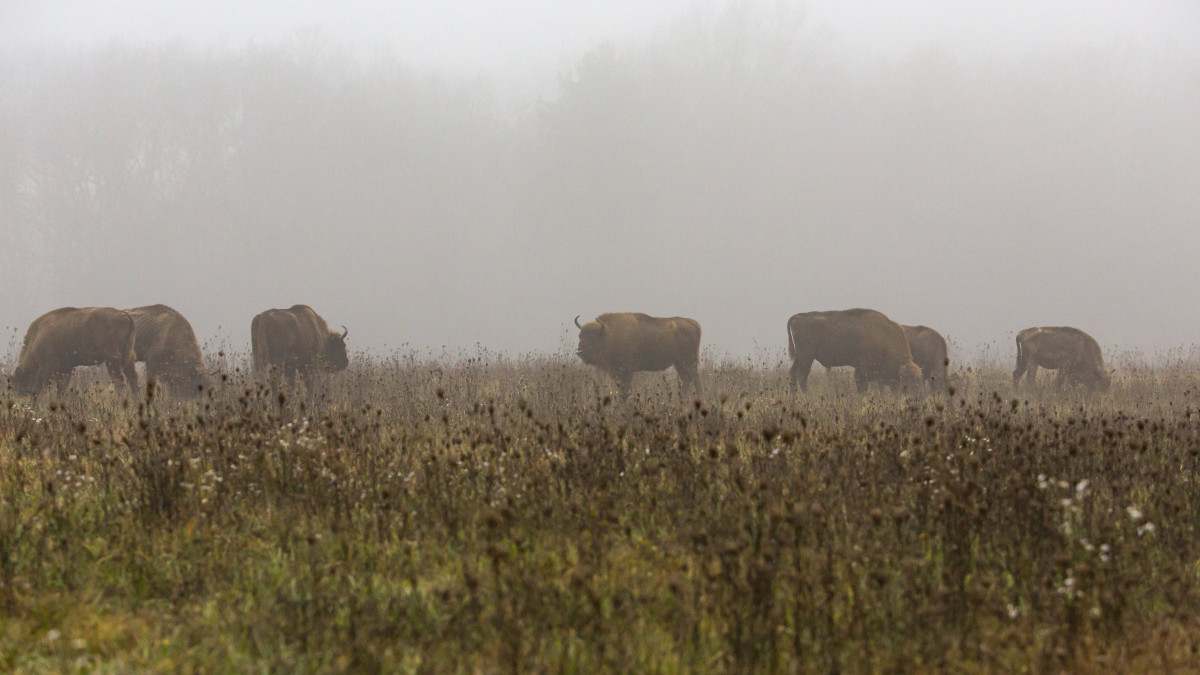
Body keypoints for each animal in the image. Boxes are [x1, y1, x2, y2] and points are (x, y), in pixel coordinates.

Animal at [6, 306, 138, 393]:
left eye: (19, 383)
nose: (20, 396)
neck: (36, 338)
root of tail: (125, 315)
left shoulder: (45, 368)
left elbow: (40, 389)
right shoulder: (66, 368)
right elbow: (61, 389)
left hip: (112, 360)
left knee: (119, 382)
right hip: (128, 358)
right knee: (133, 380)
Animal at [787, 307, 926, 391]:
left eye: (919, 380)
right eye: (908, 382)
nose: (916, 398)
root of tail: (797, 317)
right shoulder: (862, 370)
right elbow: (862, 387)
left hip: (800, 357)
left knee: (793, 374)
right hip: (806, 357)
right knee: (802, 377)